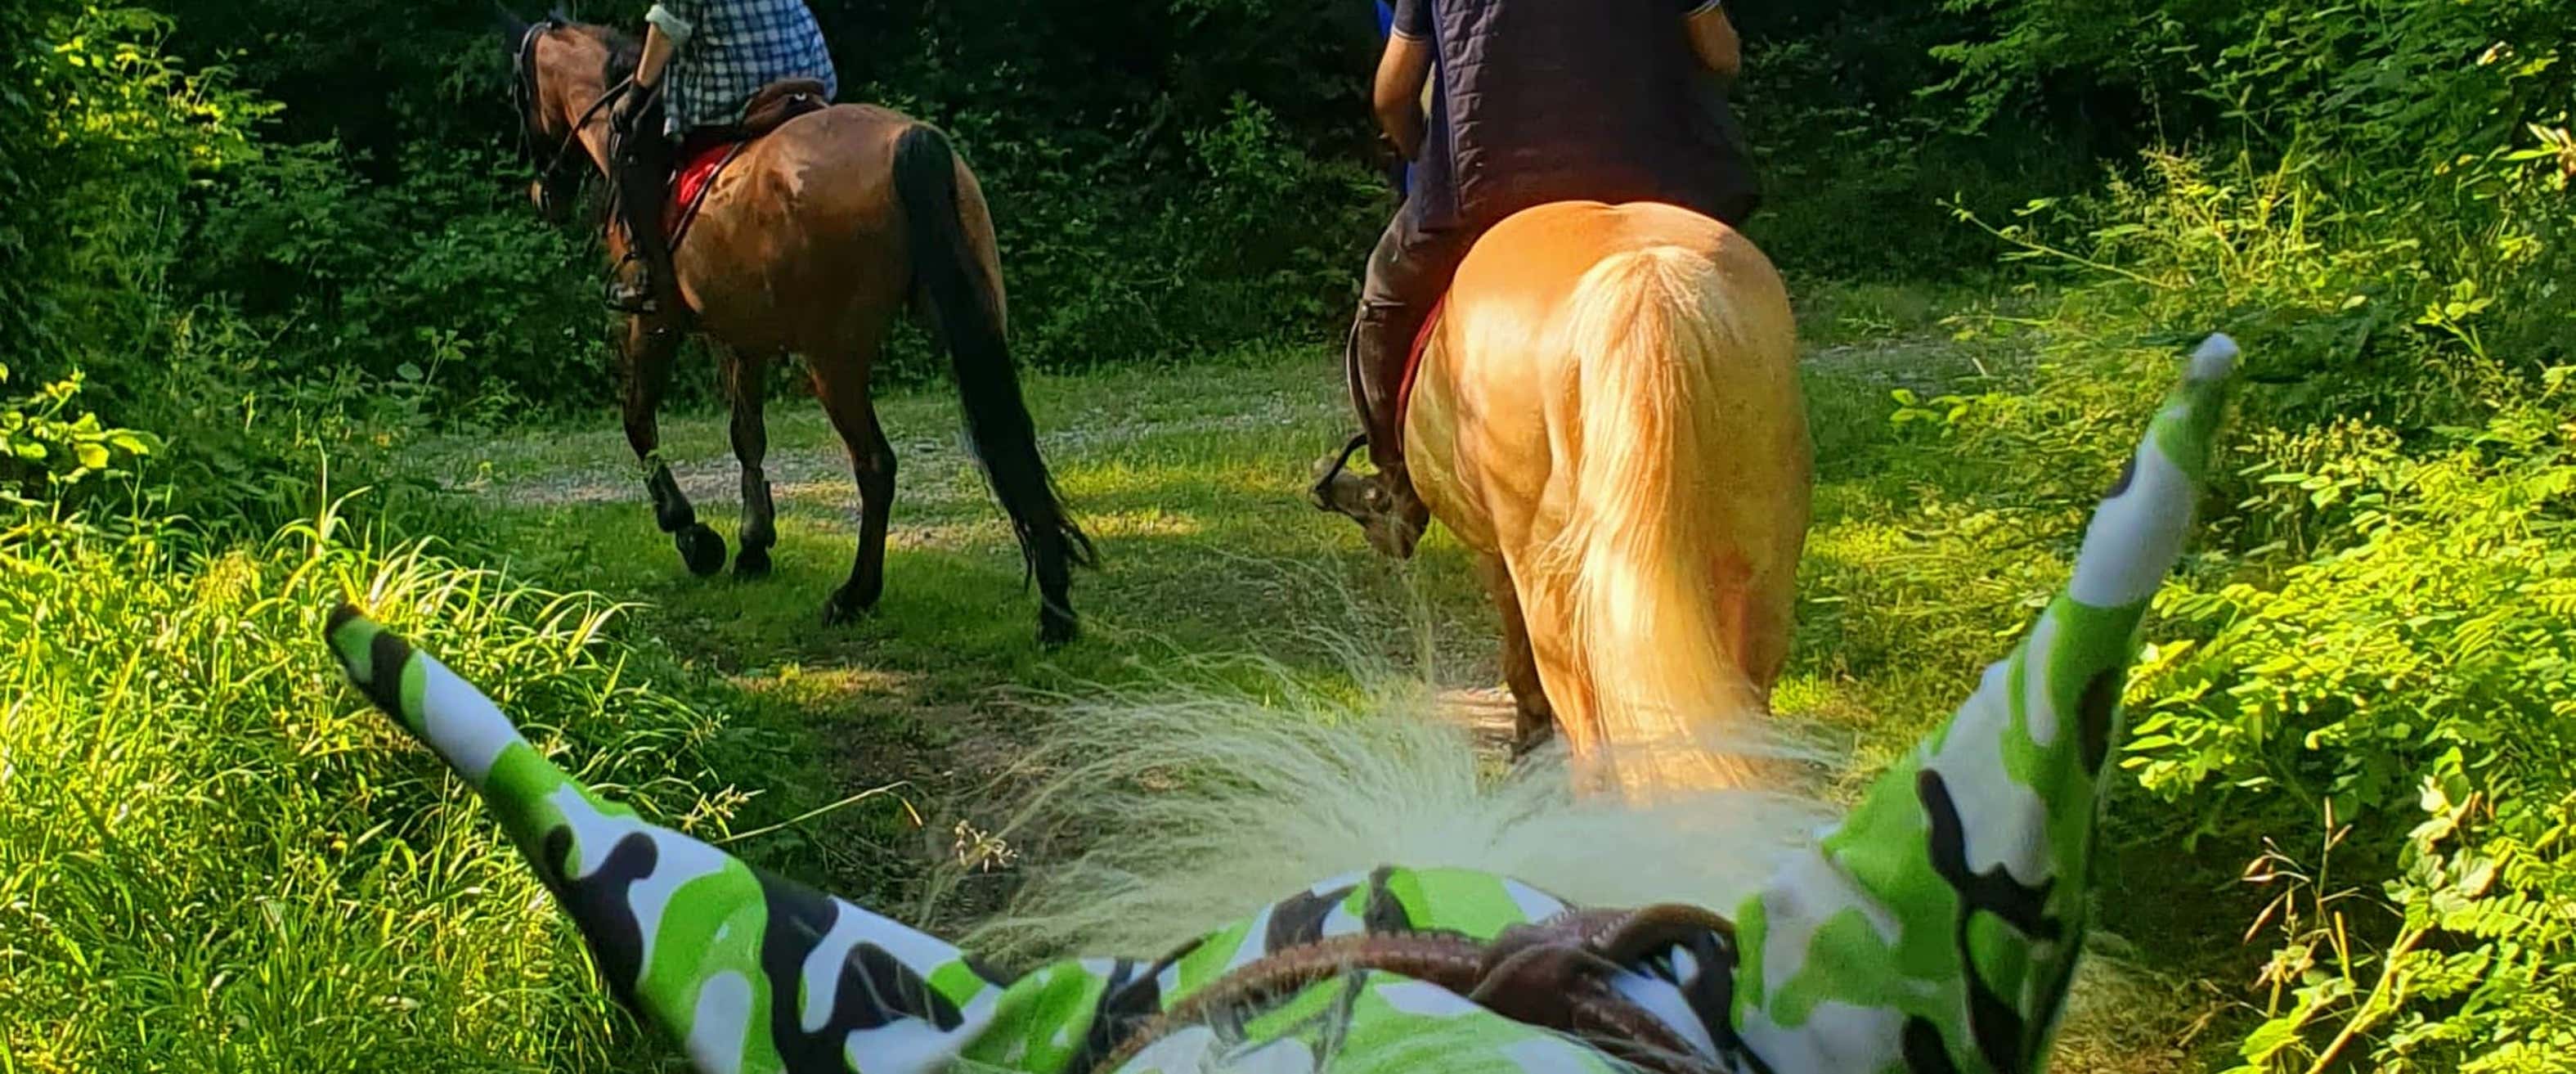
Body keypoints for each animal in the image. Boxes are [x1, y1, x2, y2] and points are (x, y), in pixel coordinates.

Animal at [505, 14, 1094, 645]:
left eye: (519, 94)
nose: (544, 194)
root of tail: (912, 144)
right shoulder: (742, 336)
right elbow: (747, 434)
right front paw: (753, 546)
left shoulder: (654, 322)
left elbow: (638, 421)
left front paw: (694, 536)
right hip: (974, 325)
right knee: (1010, 443)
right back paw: (1055, 607)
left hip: (832, 361)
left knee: (876, 466)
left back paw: (855, 595)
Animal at [1322, 201, 1812, 797]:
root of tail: (1646, 279)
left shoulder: (1497, 557)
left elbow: (1516, 654)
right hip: (1761, 578)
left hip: (1553, 589)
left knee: (1589, 734)